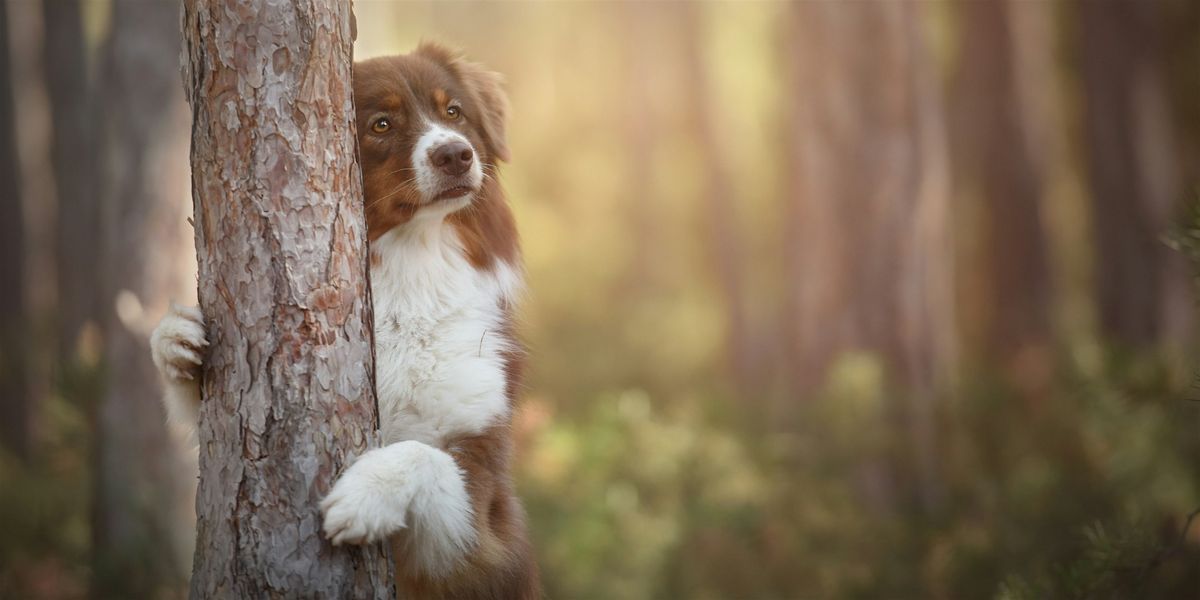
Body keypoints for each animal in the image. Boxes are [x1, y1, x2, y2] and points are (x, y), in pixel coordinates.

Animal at [150, 43, 540, 600]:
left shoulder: (483, 523)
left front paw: (366, 494)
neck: (412, 265)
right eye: (381, 124)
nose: (455, 154)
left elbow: (426, 455)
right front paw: (174, 341)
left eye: (453, 112)